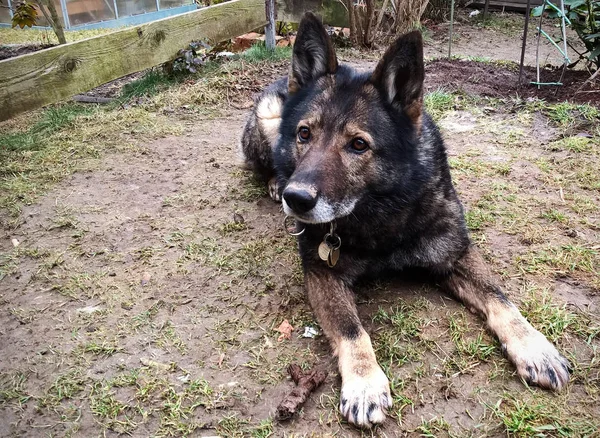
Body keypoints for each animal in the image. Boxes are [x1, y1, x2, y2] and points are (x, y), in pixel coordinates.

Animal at [238, 12, 568, 428]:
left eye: (358, 144)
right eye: (304, 134)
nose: (295, 200)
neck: (382, 213)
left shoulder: (455, 252)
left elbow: (499, 296)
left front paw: (534, 346)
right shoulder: (321, 273)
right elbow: (351, 329)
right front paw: (365, 383)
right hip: (268, 118)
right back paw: (273, 181)